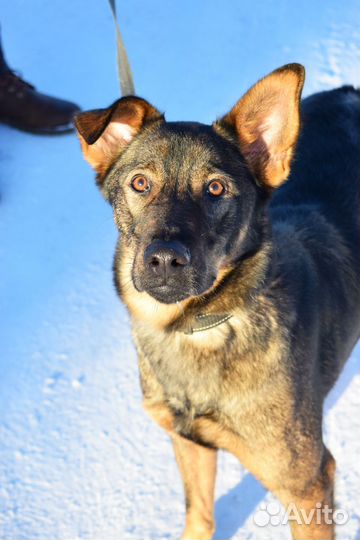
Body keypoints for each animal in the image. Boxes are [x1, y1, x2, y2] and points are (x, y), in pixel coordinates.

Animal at [74, 64, 358, 540]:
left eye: (216, 188)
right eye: (140, 183)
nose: (165, 259)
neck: (198, 326)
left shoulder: (307, 484)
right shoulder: (188, 439)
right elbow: (200, 516)